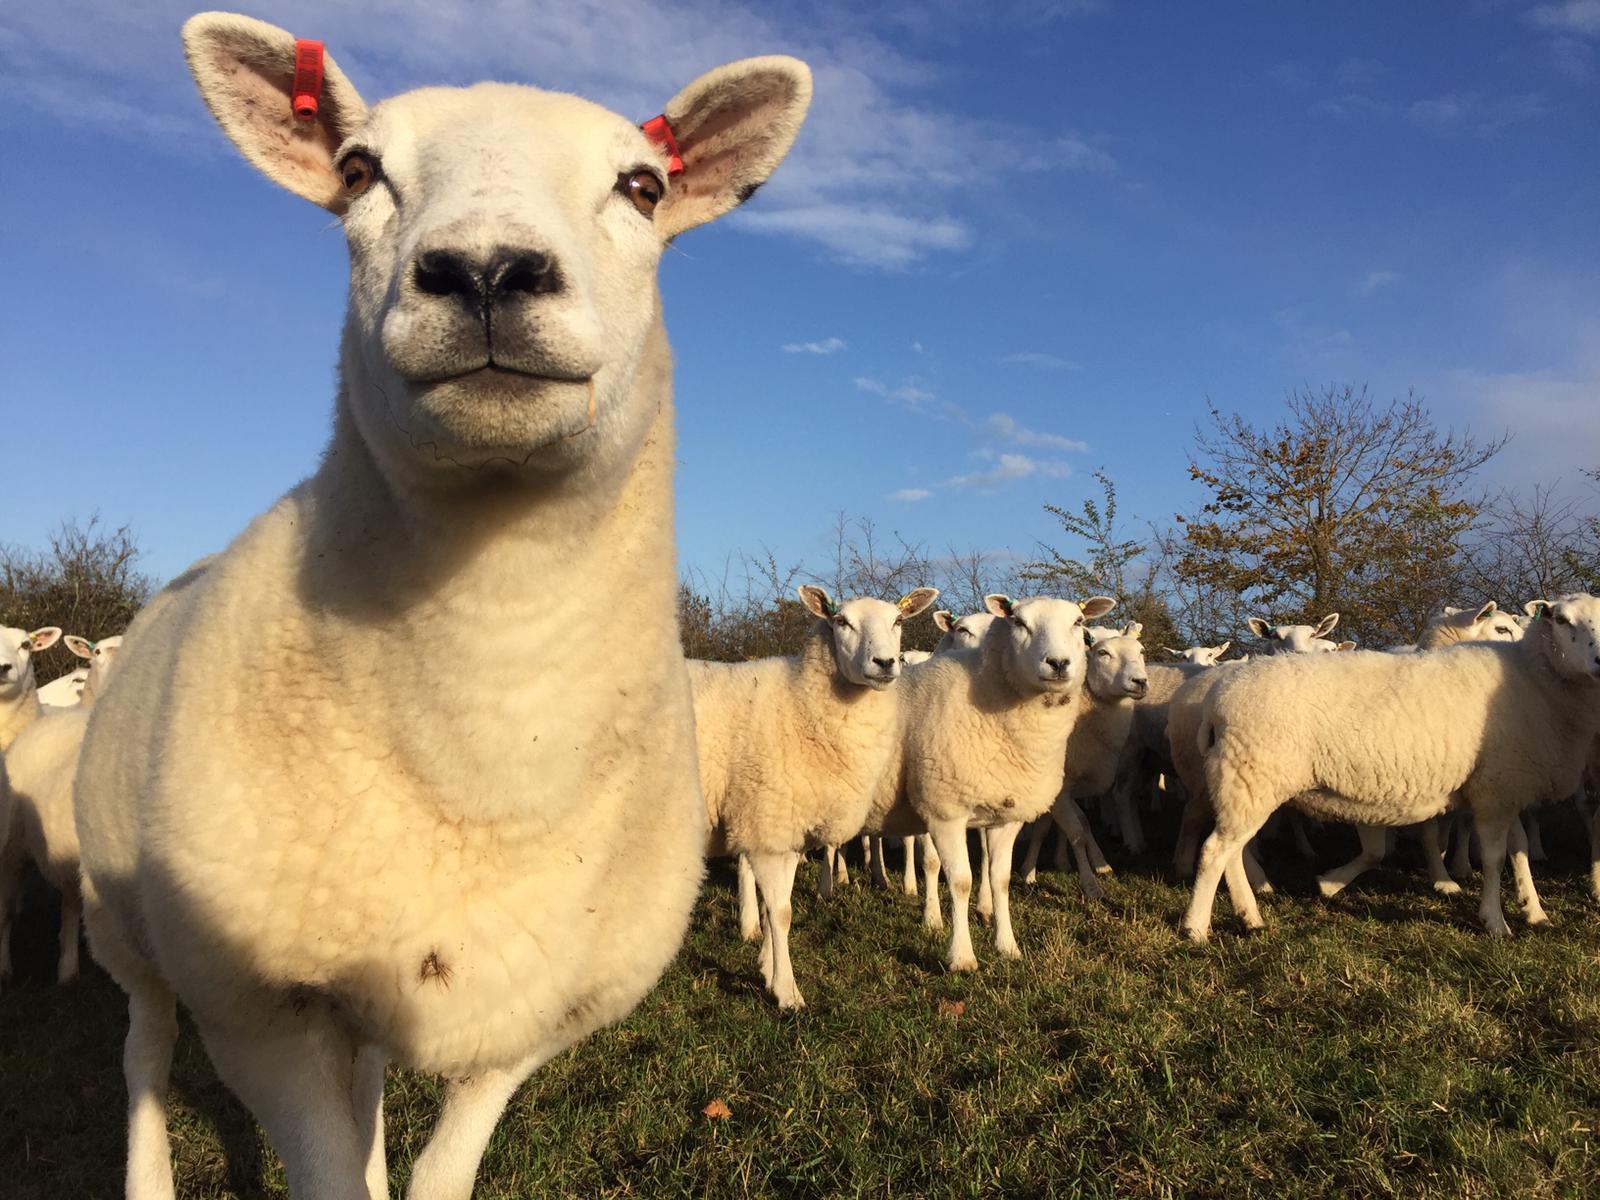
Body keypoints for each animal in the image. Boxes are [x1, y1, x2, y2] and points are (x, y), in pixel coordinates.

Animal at [72, 14, 812, 1196]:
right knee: (144, 1050)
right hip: (128, 922)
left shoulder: (528, 1021)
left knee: (367, 1079)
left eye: (643, 185)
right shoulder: (262, 1013)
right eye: (357, 171)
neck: (493, 730)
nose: (485, 270)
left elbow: (437, 1170)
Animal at [697, 588, 934, 1011]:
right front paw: (787, 993)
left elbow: (776, 907)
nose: (885, 663)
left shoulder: (787, 830)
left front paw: (768, 970)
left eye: (898, 621)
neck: (801, 702)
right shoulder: (769, 825)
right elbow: (781, 912)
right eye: (841, 621)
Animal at [864, 598, 1113, 972]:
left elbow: (1000, 879)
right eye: (1019, 623)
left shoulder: (1006, 815)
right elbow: (956, 878)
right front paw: (959, 954)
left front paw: (1007, 945)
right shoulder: (943, 810)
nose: (1058, 663)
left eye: (1079, 622)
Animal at [1184, 598, 1600, 947]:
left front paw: (1534, 910)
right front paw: (1495, 921)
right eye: (1561, 620)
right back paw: (1195, 928)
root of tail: (1216, 700)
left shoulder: (1502, 784)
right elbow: (1494, 857)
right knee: (1215, 851)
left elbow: (1518, 850)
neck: (1535, 680)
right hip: (1250, 777)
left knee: (1233, 852)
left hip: (1245, 785)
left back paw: (1250, 916)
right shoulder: (1496, 791)